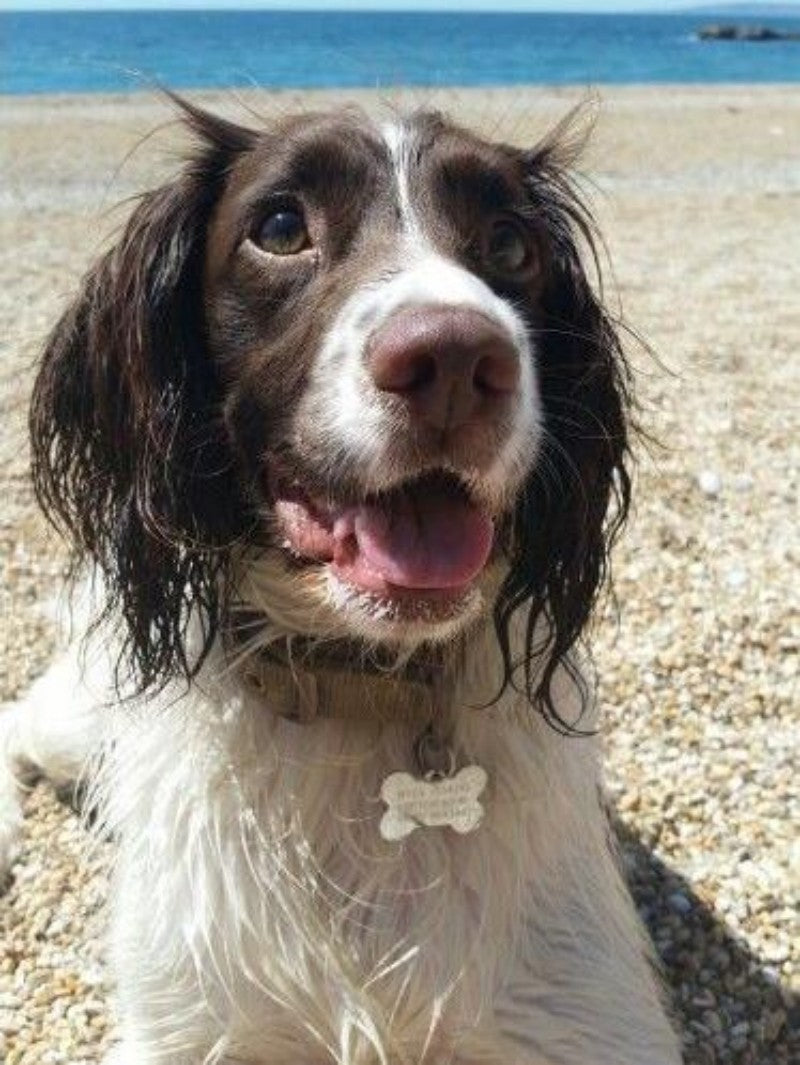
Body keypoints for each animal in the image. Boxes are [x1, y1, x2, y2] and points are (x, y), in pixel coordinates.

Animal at [1, 100, 681, 1065]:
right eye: (282, 227)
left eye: (511, 242)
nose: (455, 360)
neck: (363, 686)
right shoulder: (183, 1025)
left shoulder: (589, 1014)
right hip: (81, 722)